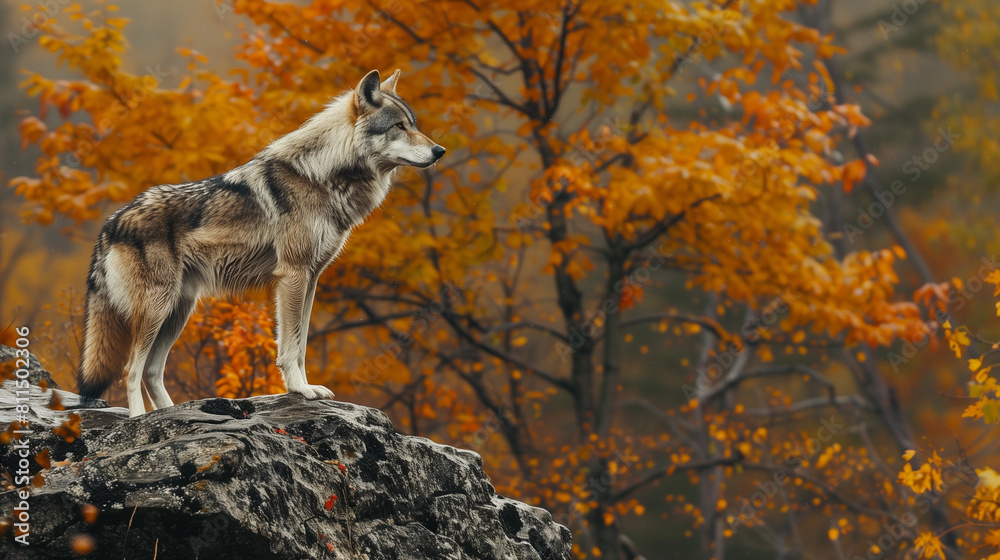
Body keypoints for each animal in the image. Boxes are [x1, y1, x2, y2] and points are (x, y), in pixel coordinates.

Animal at [78, 69, 444, 417]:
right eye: (399, 126)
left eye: (413, 124)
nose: (440, 150)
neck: (322, 176)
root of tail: (111, 222)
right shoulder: (293, 275)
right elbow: (290, 346)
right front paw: (300, 390)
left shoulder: (312, 278)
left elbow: (301, 343)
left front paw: (306, 387)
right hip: (157, 308)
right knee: (131, 369)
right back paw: (139, 418)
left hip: (178, 311)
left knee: (152, 371)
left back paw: (169, 413)